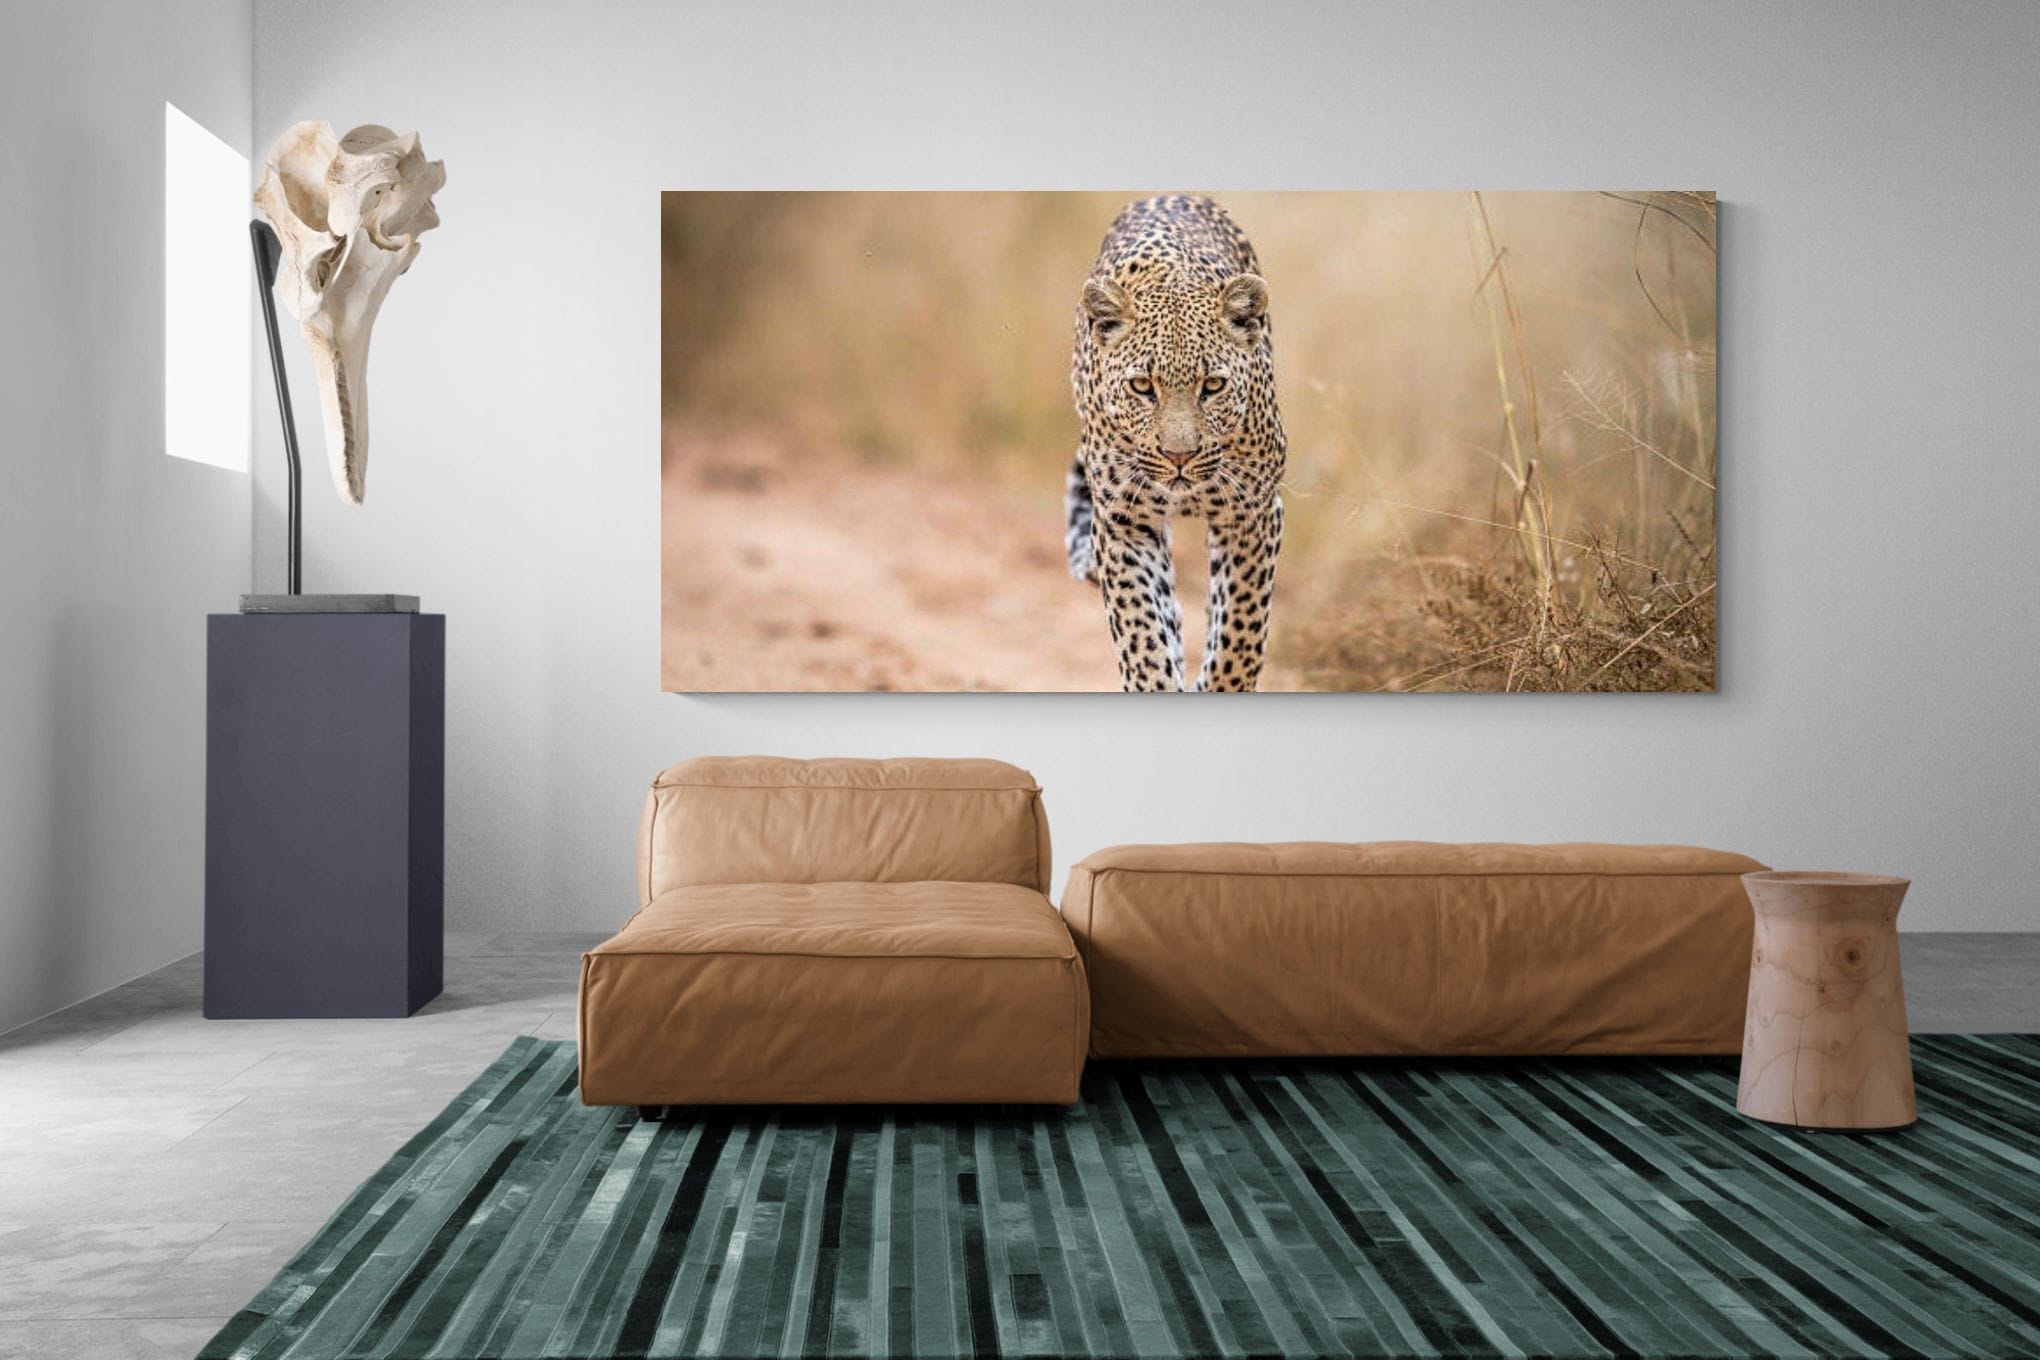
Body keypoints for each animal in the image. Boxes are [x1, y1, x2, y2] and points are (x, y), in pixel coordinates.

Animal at [1065, 195, 1286, 692]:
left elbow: (1239, 632)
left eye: (1213, 386)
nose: (1179, 456)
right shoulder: (1123, 521)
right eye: (1143, 386)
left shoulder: (1253, 514)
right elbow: (1141, 631)